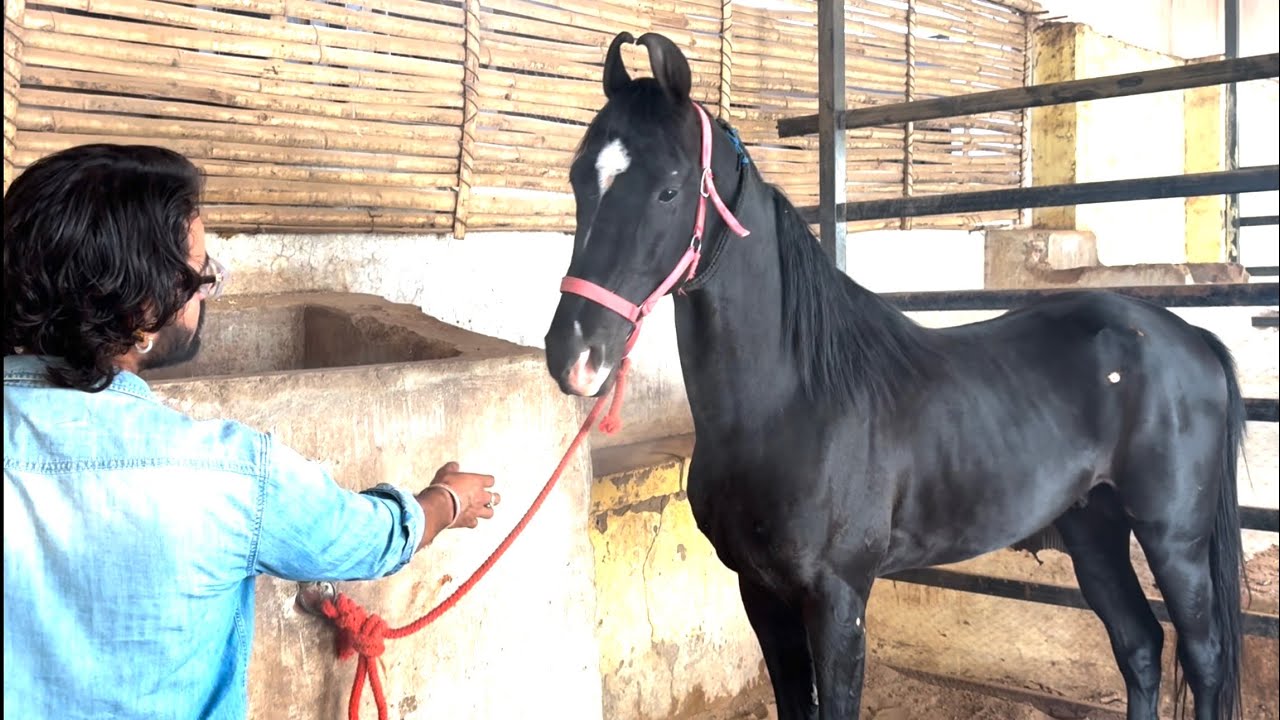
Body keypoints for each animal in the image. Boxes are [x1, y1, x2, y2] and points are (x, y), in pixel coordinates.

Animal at [542, 31, 1245, 720]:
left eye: (669, 188)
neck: (790, 402)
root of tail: (1191, 338)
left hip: (1173, 540)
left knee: (1204, 658)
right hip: (1093, 528)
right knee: (1139, 645)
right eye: (579, 178)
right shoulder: (759, 592)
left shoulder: (838, 599)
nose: (572, 353)